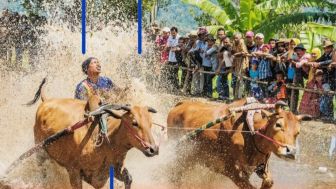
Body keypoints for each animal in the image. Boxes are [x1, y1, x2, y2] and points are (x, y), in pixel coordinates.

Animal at [27, 78, 159, 189]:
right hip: (40, 151)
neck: (106, 138)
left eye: (150, 123)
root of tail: (46, 101)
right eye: (134, 123)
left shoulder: (114, 169)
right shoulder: (74, 171)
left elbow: (128, 178)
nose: (153, 149)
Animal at [167, 99, 310, 189]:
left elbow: (269, 182)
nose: (291, 151)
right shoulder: (230, 169)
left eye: (298, 132)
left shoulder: (258, 166)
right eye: (278, 124)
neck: (250, 132)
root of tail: (180, 104)